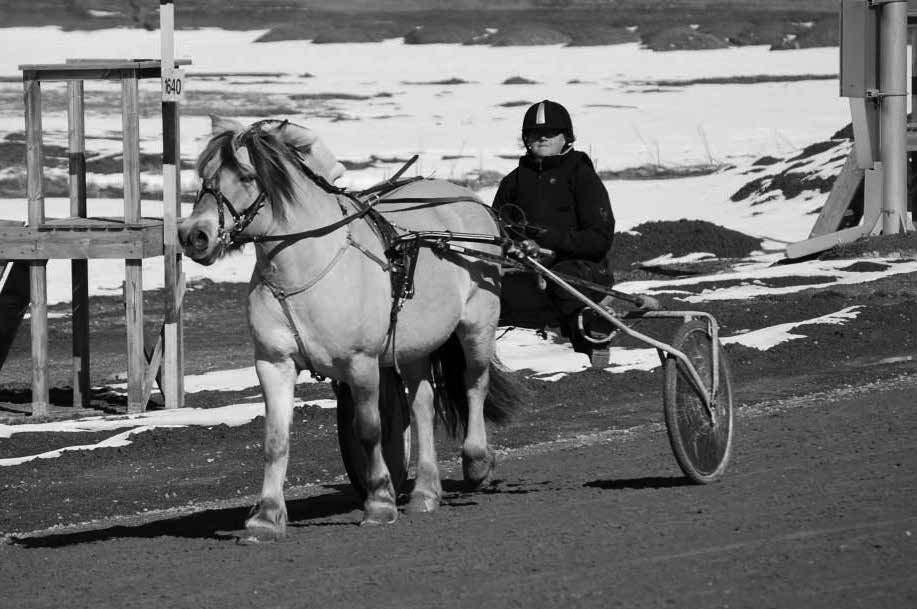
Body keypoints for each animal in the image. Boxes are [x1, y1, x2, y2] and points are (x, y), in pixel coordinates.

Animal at [179, 114, 524, 536]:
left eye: (245, 175)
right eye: (204, 177)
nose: (193, 235)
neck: (303, 269)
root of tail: (468, 201)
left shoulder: (361, 362)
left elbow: (370, 429)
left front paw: (379, 502)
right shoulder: (273, 362)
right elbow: (275, 438)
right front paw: (267, 516)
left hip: (477, 324)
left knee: (475, 384)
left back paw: (476, 462)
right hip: (413, 344)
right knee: (423, 405)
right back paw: (426, 492)